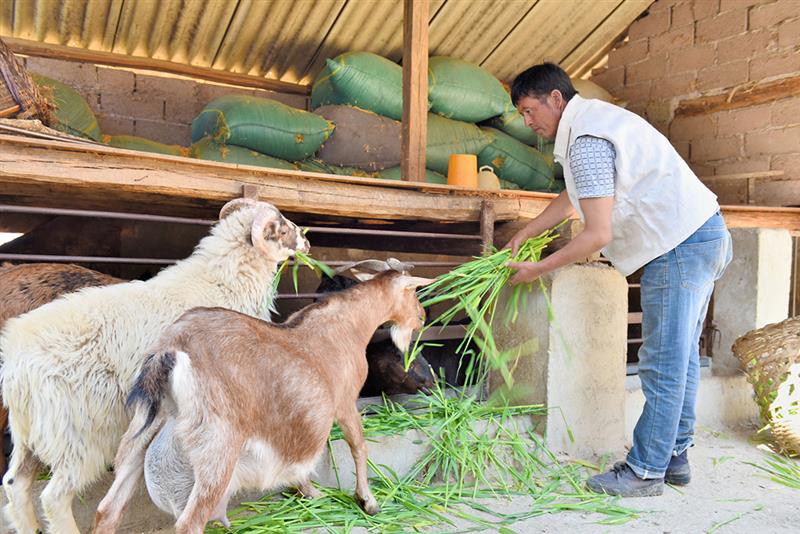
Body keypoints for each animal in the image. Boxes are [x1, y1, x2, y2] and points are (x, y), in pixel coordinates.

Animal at [95, 272, 432, 534]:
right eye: (414, 292)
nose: (423, 318)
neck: (347, 325)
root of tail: (172, 350)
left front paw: (310, 492)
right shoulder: (345, 401)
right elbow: (358, 447)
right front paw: (368, 501)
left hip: (141, 431)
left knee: (107, 509)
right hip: (217, 446)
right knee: (190, 523)